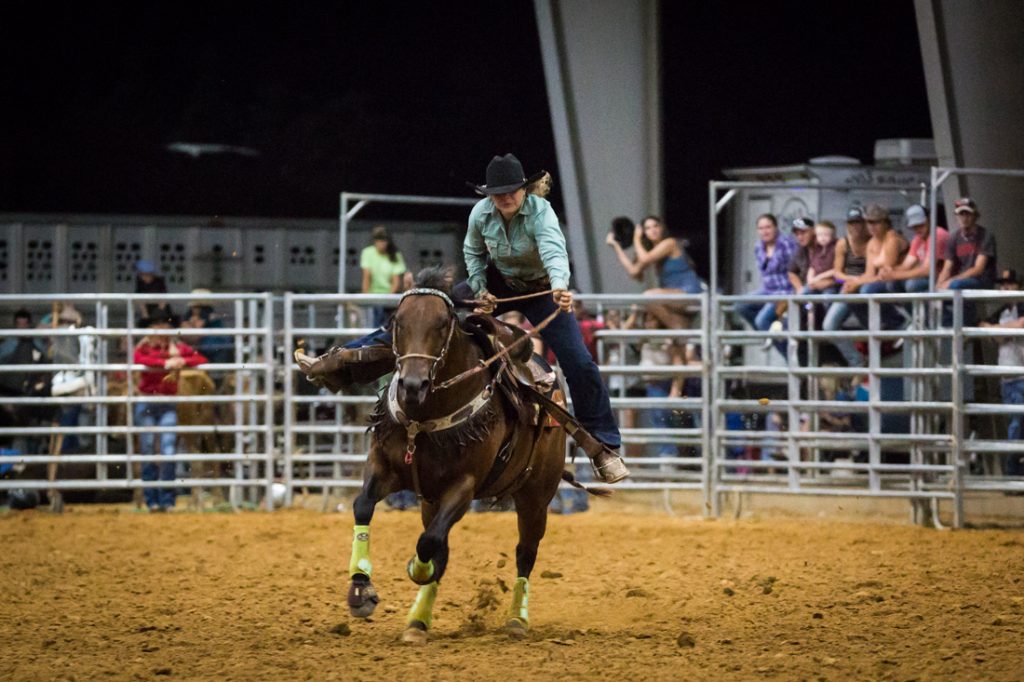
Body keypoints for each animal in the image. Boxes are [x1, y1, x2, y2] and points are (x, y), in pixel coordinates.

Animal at [344, 266, 577, 643]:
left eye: (442, 324)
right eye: (397, 322)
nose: (412, 386)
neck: (423, 416)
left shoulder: (464, 486)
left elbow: (428, 543)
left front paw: (415, 568)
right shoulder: (385, 466)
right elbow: (364, 506)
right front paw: (360, 589)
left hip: (536, 495)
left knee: (525, 553)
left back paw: (517, 619)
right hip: (431, 500)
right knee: (444, 547)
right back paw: (418, 622)